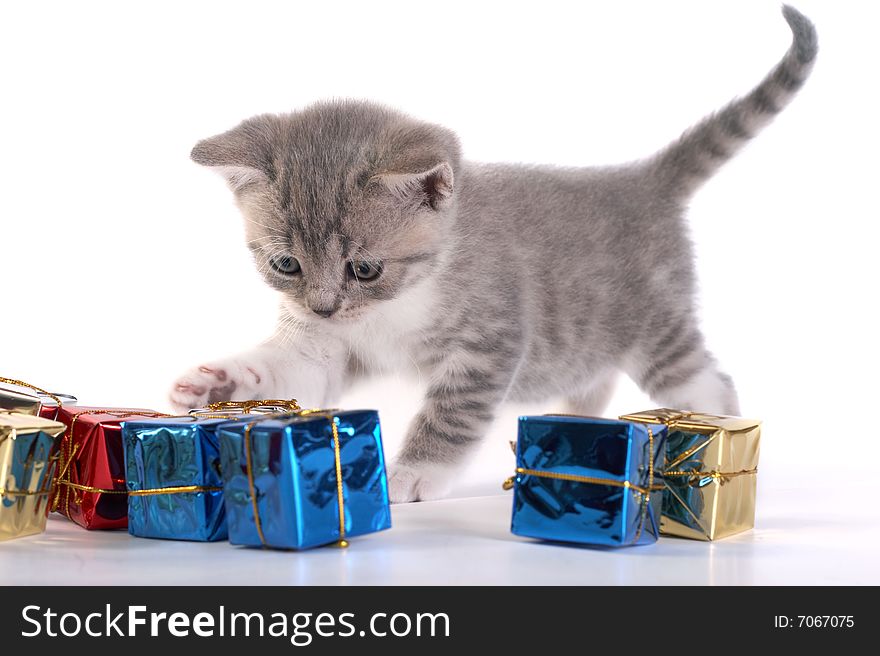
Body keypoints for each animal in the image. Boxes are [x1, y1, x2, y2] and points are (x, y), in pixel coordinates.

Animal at [170, 6, 820, 502]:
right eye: (286, 265)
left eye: (365, 269)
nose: (325, 307)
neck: (397, 305)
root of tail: (639, 180)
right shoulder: (324, 347)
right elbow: (291, 368)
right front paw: (217, 382)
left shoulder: (489, 343)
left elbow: (450, 414)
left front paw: (412, 473)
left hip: (657, 333)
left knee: (708, 382)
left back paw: (718, 437)